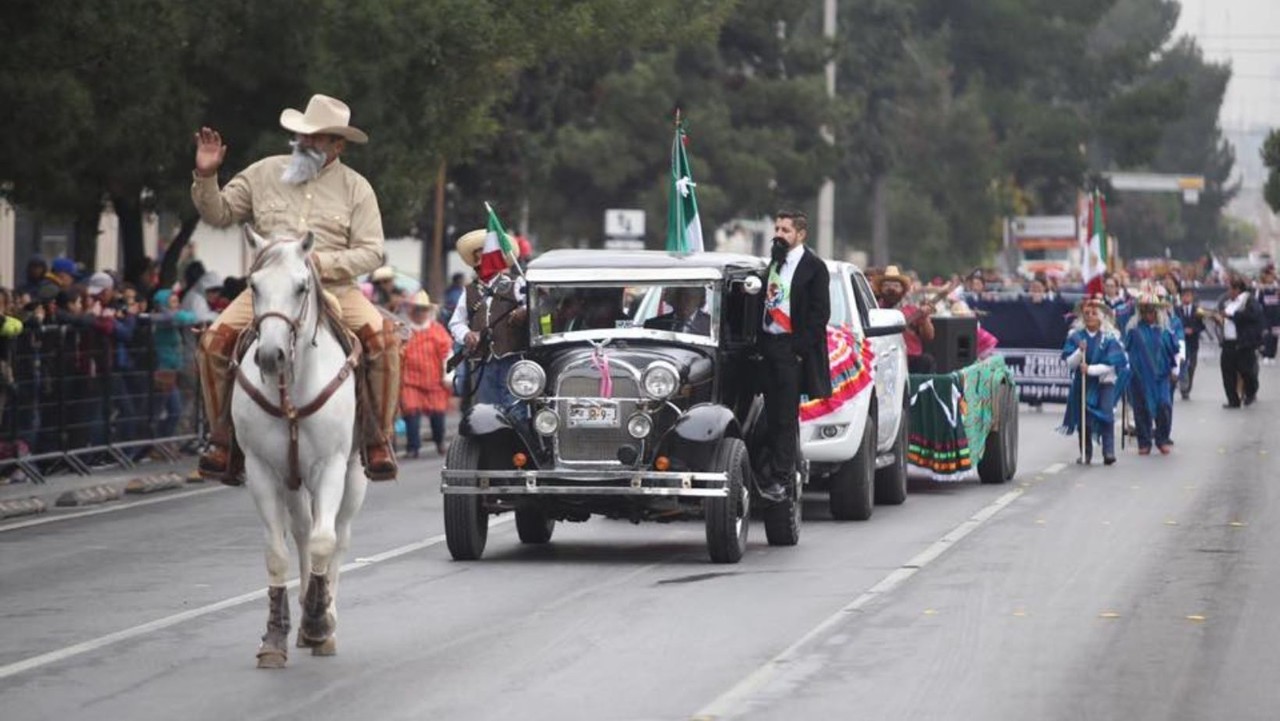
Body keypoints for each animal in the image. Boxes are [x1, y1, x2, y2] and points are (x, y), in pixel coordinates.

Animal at [231, 227, 366, 671]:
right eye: (253, 285)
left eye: (301, 286)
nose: (270, 356)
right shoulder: (262, 471)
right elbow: (278, 552)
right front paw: (276, 637)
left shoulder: (331, 466)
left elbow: (326, 541)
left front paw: (321, 625)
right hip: (292, 479)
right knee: (304, 531)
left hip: (355, 476)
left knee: (338, 536)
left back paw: (324, 616)